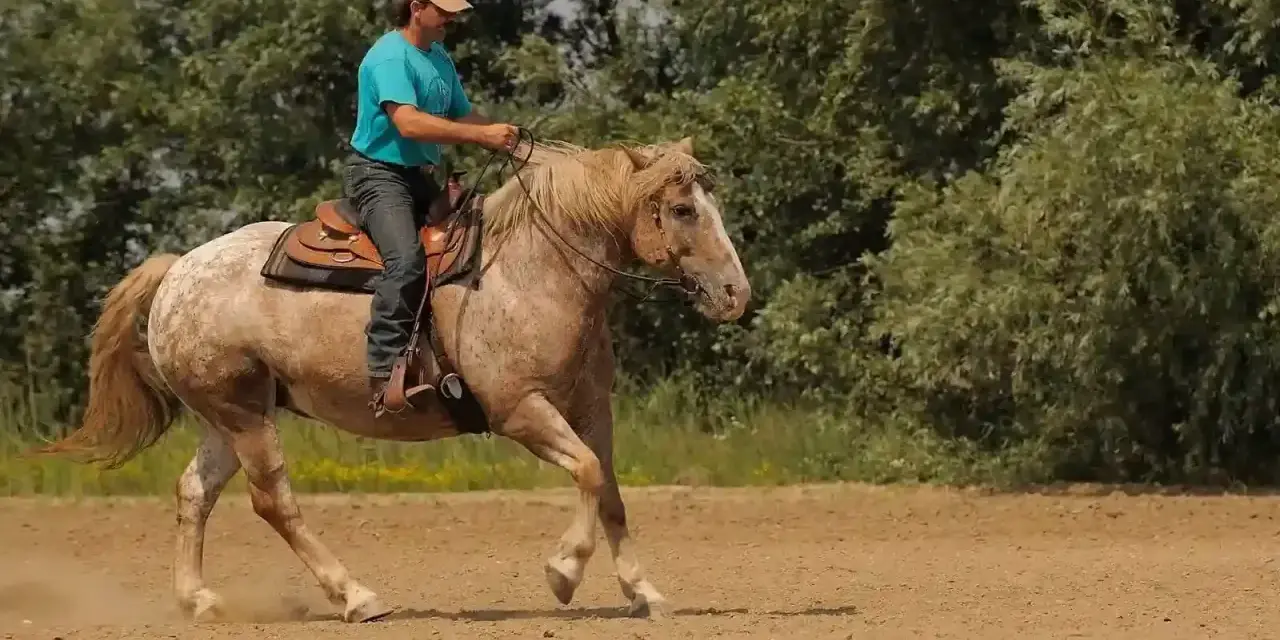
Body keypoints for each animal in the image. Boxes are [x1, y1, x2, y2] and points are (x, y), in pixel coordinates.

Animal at [37, 134, 751, 623]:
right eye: (682, 209)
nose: (735, 293)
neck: (533, 270)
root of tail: (178, 269)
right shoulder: (520, 410)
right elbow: (587, 473)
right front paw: (563, 572)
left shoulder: (591, 409)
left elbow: (610, 492)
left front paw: (644, 591)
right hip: (244, 416)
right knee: (274, 502)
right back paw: (356, 596)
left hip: (230, 416)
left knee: (195, 492)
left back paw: (201, 601)